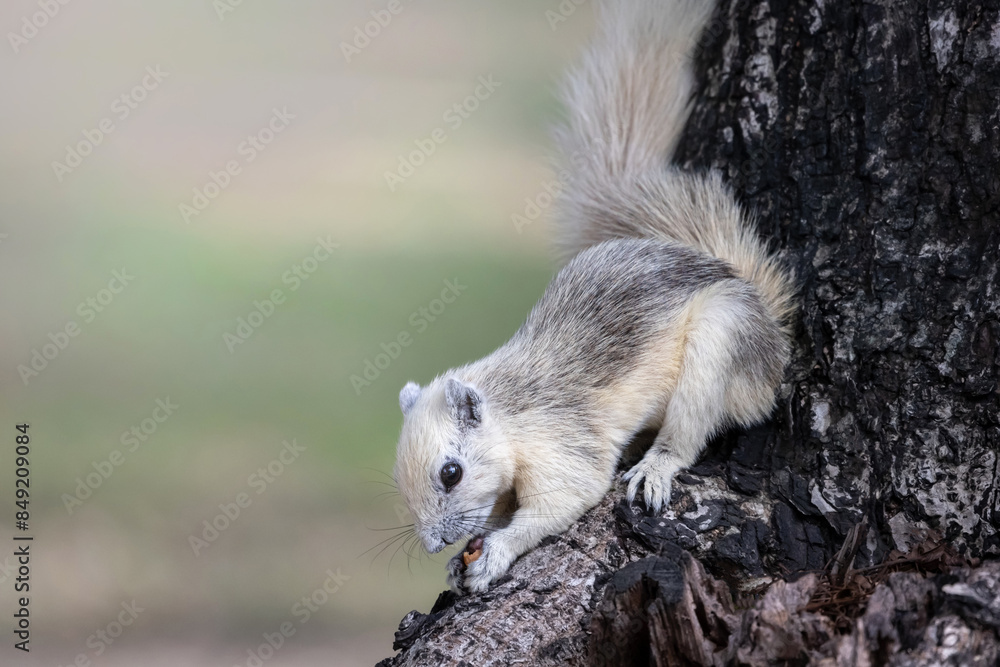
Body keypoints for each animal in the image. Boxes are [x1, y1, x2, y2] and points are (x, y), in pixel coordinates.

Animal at [393, 0, 794, 594]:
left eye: (451, 472)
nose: (434, 543)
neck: (511, 417)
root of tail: (764, 312)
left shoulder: (563, 446)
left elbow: (562, 500)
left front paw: (495, 552)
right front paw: (462, 556)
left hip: (722, 341)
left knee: (690, 430)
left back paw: (656, 465)